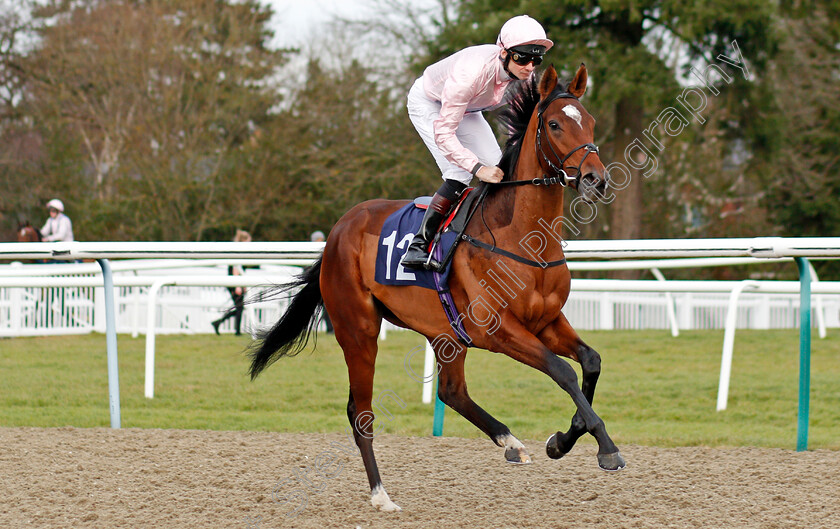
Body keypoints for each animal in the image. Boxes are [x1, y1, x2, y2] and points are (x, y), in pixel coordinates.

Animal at [249, 64, 624, 510]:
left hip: (445, 333)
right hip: (359, 330)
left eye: (590, 121)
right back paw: (381, 495)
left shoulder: (546, 321)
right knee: (361, 412)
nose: (596, 179)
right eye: (554, 124)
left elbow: (591, 361)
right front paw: (606, 448)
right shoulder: (497, 329)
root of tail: (339, 230)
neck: (522, 237)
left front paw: (562, 439)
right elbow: (563, 371)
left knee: (451, 391)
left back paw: (511, 443)